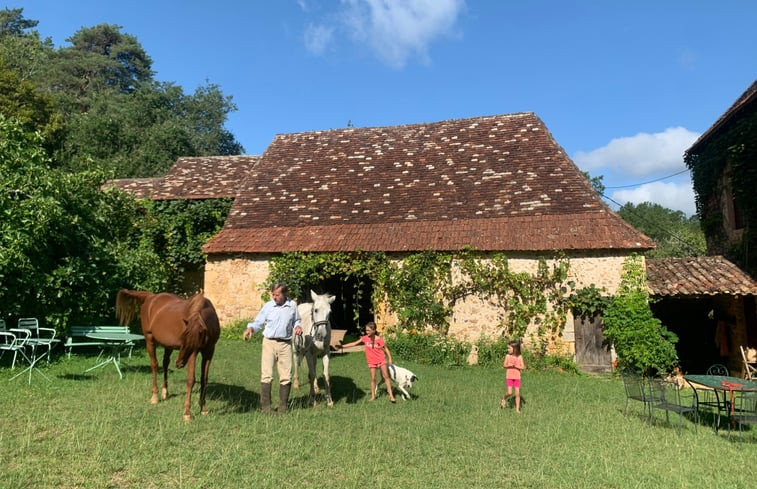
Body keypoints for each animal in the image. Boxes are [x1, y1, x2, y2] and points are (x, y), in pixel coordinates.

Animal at [115, 290, 220, 420]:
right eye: (182, 338)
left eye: (190, 341)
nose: (179, 363)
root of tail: (151, 297)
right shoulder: (193, 354)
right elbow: (191, 380)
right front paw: (187, 413)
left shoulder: (209, 352)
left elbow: (204, 379)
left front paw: (203, 409)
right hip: (149, 339)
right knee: (154, 365)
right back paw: (155, 396)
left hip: (168, 345)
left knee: (165, 364)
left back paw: (165, 392)